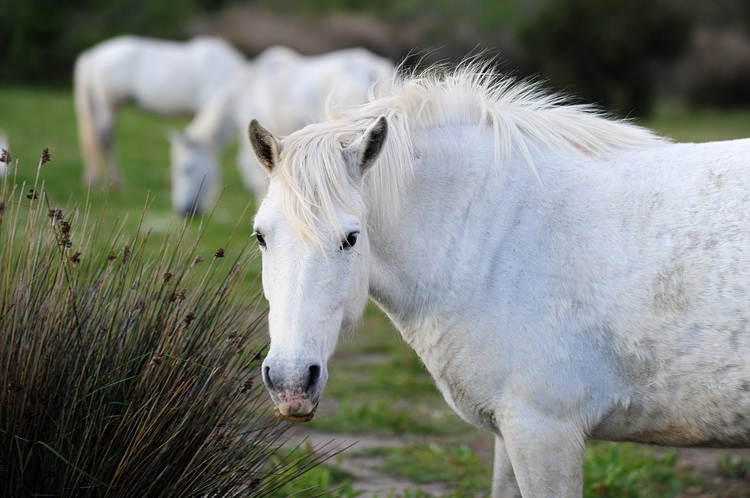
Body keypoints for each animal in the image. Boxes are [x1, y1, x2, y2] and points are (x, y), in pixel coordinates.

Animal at [248, 63, 750, 497]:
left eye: (351, 238)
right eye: (260, 236)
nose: (291, 382)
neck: (498, 237)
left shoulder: (544, 431)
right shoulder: (512, 433)